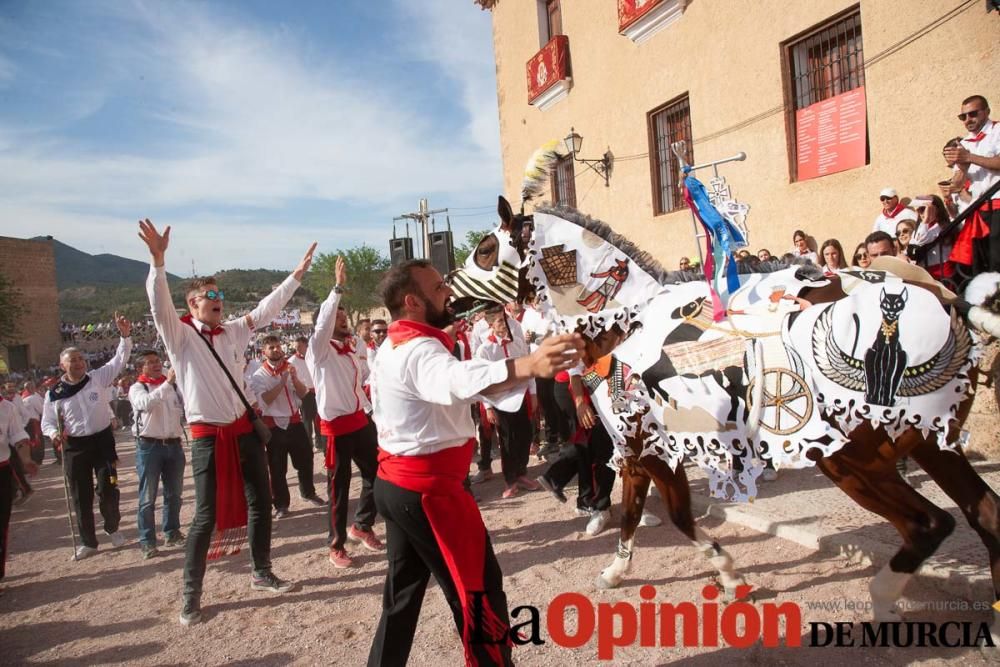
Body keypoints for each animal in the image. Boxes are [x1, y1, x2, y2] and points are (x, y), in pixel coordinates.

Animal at [450, 144, 1000, 636]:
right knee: (985, 516)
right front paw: (617, 570)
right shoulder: (639, 449)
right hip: (931, 444)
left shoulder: (649, 449)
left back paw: (883, 600)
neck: (626, 321)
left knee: (929, 525)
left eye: (485, 249)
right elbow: (633, 513)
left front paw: (729, 573)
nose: (450, 291)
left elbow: (674, 516)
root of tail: (943, 298)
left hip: (852, 459)